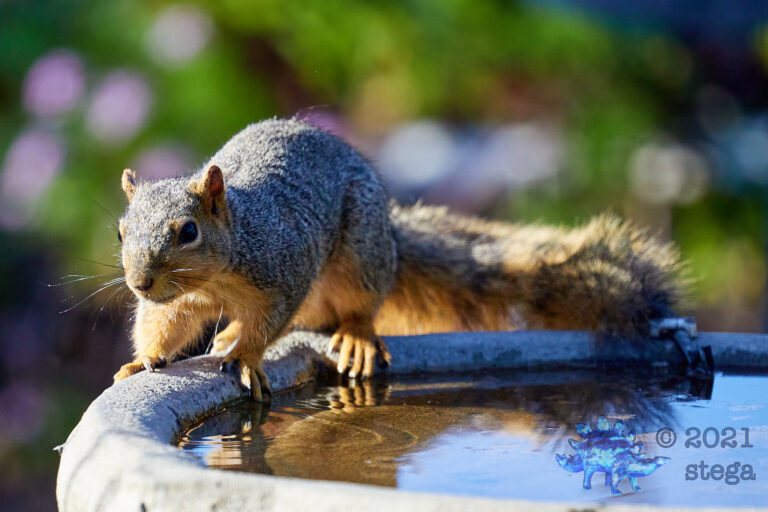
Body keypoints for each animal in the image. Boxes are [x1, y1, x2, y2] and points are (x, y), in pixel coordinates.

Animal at [113, 118, 684, 401]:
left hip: (361, 258)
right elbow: (161, 326)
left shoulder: (285, 272)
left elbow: (268, 323)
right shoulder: (175, 301)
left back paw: (356, 338)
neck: (215, 276)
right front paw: (144, 361)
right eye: (121, 230)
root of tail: (390, 231)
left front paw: (247, 356)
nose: (140, 282)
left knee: (353, 309)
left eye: (188, 231)